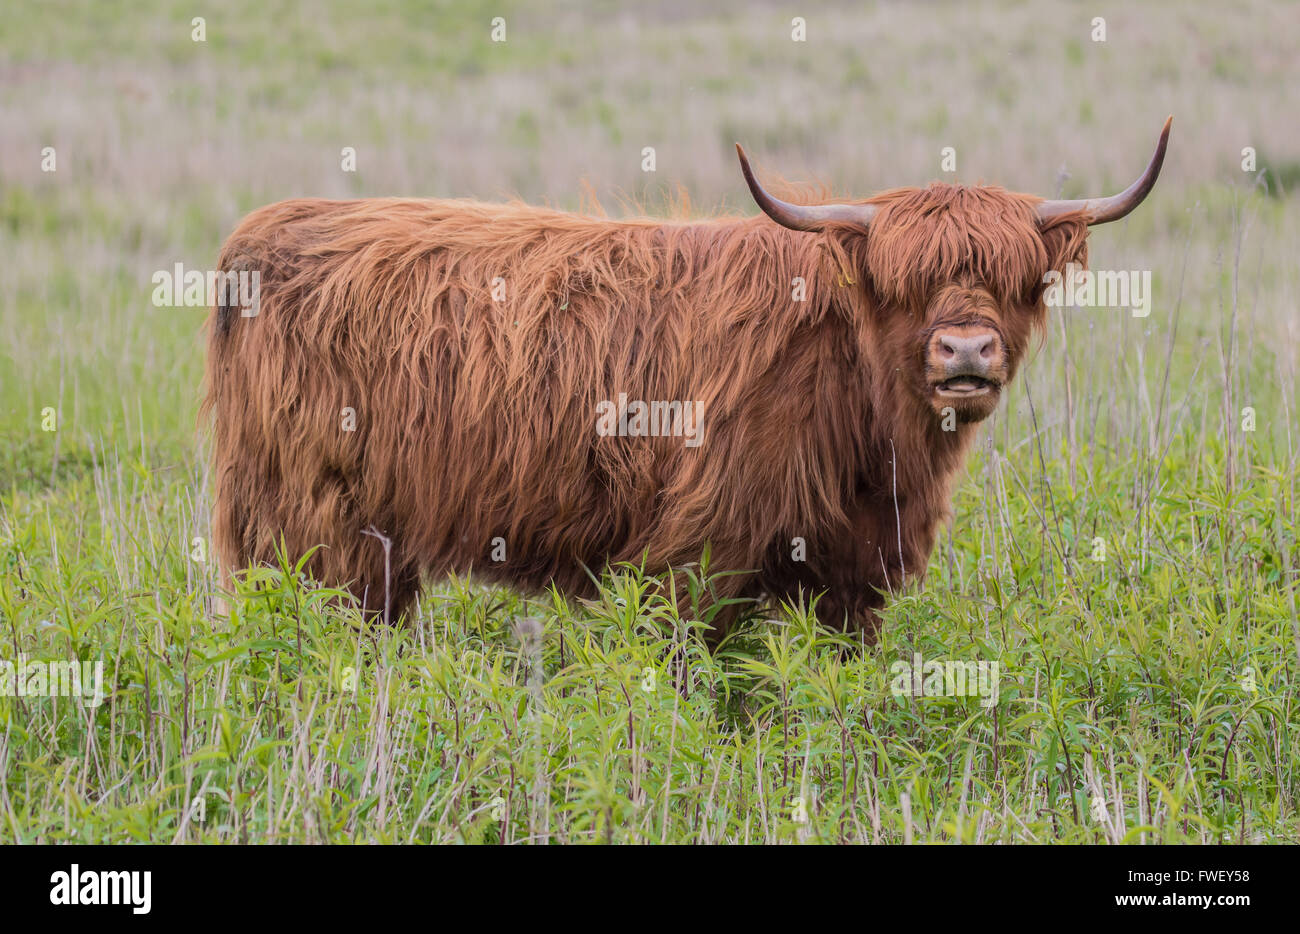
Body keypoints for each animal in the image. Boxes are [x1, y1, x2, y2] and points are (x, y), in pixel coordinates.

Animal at [203, 118, 1170, 641]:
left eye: (1017, 280)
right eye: (903, 285)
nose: (965, 353)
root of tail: (263, 235)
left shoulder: (856, 574)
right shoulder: (697, 553)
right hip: (308, 531)